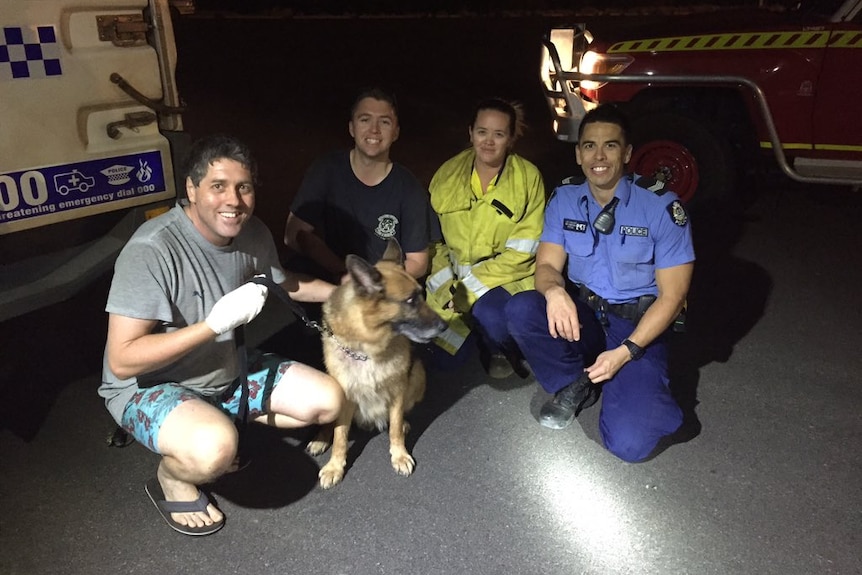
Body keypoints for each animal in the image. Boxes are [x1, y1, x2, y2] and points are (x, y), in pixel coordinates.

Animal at [308, 238, 446, 490]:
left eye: (421, 295)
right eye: (410, 300)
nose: (444, 326)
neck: (368, 350)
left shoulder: (398, 391)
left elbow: (394, 427)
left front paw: (399, 454)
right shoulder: (345, 398)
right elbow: (340, 436)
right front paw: (335, 466)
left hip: (418, 373)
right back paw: (321, 438)